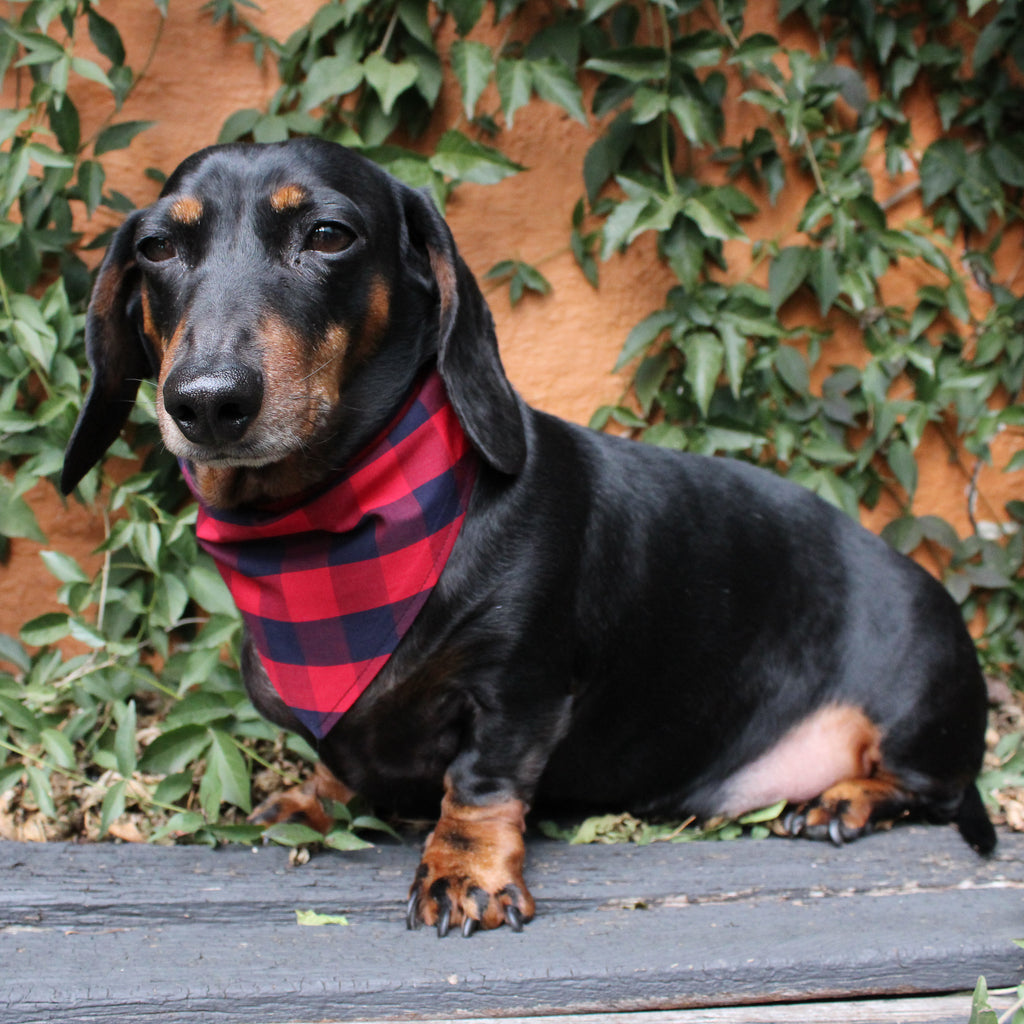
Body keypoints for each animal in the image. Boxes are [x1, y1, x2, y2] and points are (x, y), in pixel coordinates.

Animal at [61, 136, 991, 937]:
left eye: (328, 235)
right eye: (157, 247)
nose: (206, 402)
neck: (322, 532)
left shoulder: (518, 692)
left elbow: (482, 784)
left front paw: (466, 872)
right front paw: (314, 798)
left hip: (913, 708)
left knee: (924, 788)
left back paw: (842, 800)